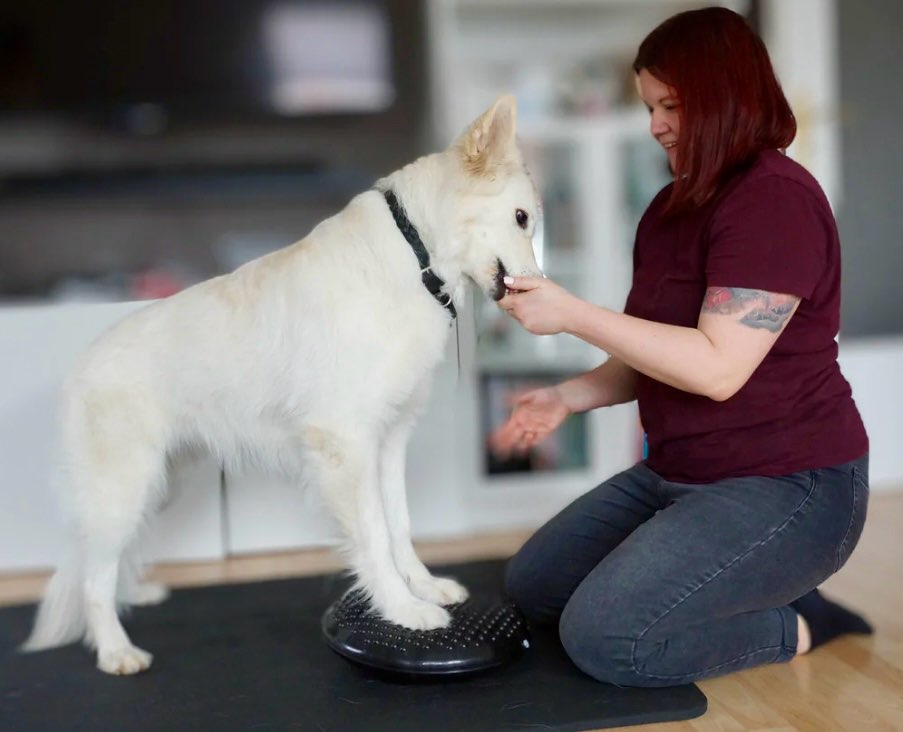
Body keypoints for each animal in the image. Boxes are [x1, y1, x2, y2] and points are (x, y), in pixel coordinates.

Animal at [21, 95, 543, 674]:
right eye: (522, 218)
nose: (541, 288)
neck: (417, 256)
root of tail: (79, 366)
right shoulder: (345, 445)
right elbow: (375, 537)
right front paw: (402, 609)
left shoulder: (388, 442)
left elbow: (400, 525)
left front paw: (423, 587)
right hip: (122, 491)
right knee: (93, 573)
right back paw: (115, 648)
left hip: (155, 487)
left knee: (104, 560)